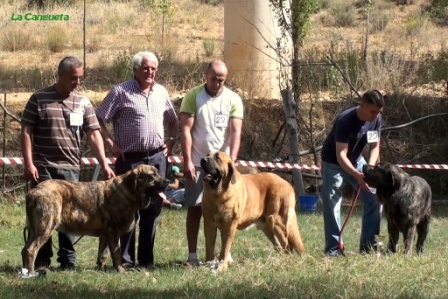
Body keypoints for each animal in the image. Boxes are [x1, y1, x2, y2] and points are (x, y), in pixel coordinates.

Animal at [21, 165, 168, 276]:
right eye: (152, 175)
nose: (167, 181)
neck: (128, 192)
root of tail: (33, 191)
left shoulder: (105, 235)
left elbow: (103, 255)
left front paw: (101, 270)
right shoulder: (113, 233)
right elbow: (116, 253)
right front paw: (120, 269)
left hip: (34, 229)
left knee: (24, 249)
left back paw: (24, 271)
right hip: (46, 227)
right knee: (31, 250)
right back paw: (32, 273)